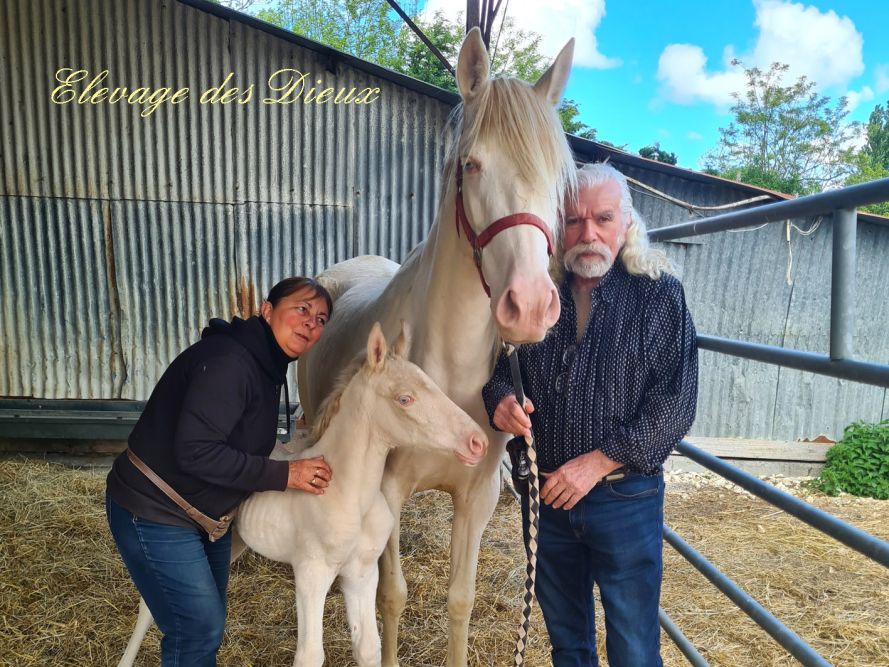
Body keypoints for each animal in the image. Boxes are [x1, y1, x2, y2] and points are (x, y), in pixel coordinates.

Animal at [296, 27, 576, 667]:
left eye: (556, 179)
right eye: (471, 165)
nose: (530, 306)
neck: (448, 368)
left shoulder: (478, 497)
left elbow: (460, 601)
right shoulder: (388, 491)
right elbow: (391, 595)